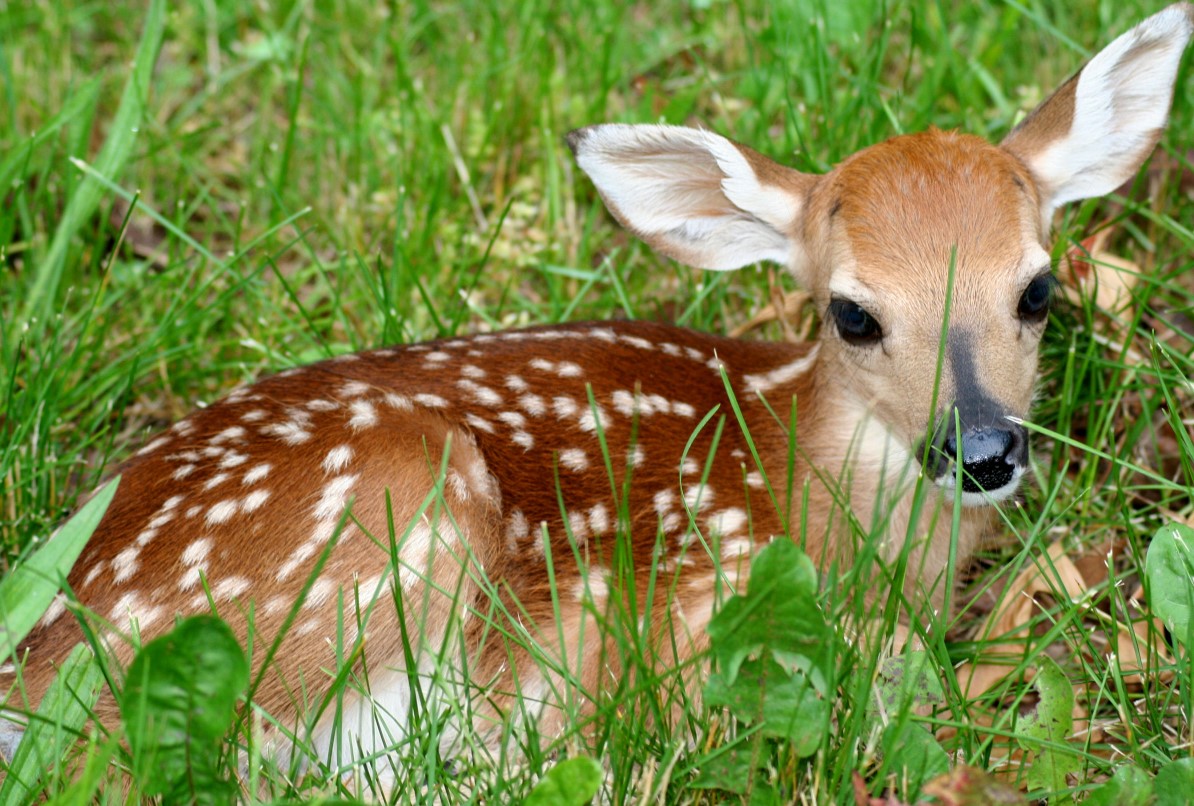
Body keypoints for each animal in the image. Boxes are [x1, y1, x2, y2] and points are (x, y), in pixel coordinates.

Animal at [2, 2, 1192, 785]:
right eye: (853, 314)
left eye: (1037, 289)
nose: (982, 451)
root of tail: (32, 664)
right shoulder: (696, 614)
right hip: (377, 517)